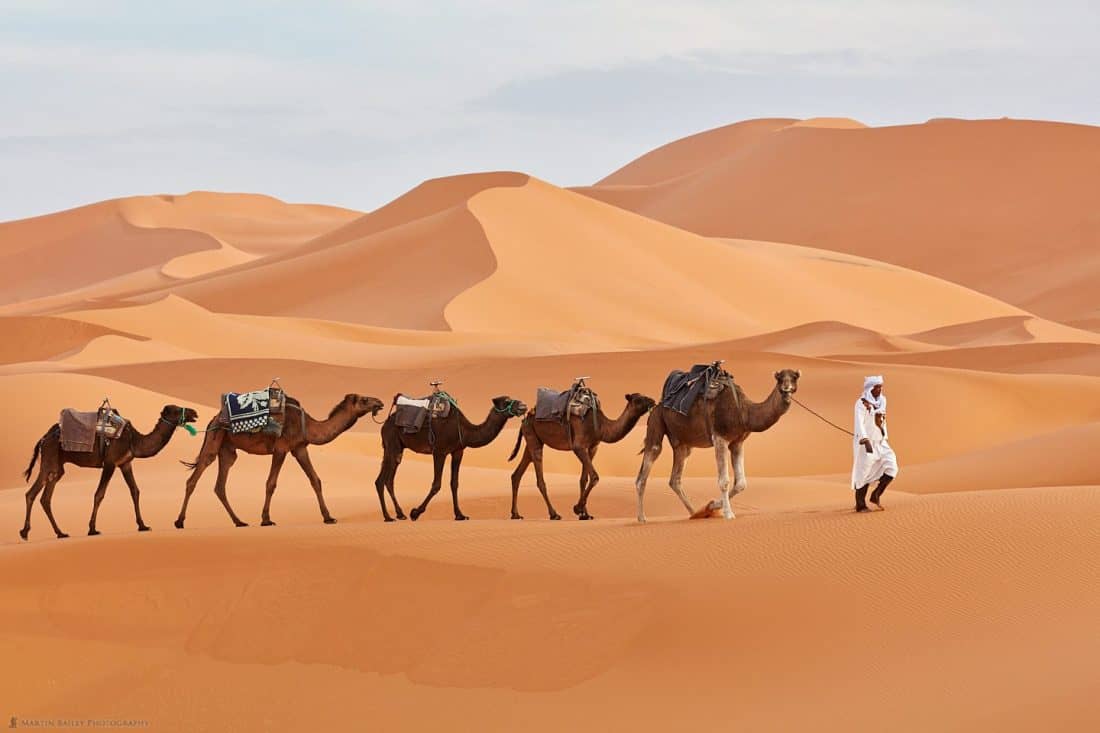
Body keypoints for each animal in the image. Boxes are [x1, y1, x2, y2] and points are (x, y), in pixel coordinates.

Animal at [20, 402, 199, 539]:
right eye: (176, 410)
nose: (194, 412)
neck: (134, 440)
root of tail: (43, 438)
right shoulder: (110, 462)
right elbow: (99, 494)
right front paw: (92, 529)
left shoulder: (125, 463)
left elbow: (135, 491)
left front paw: (142, 525)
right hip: (50, 459)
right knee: (33, 493)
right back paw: (26, 532)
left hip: (57, 467)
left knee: (44, 497)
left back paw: (59, 533)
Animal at [174, 394, 382, 526]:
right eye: (364, 399)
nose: (379, 402)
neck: (308, 425)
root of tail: (213, 419)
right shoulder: (281, 448)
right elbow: (271, 483)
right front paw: (266, 519)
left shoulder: (299, 448)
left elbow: (315, 480)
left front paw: (329, 517)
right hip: (214, 439)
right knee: (194, 478)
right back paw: (179, 521)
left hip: (227, 450)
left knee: (220, 485)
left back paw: (239, 521)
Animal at [374, 394, 528, 519]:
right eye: (507, 401)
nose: (523, 406)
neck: (465, 431)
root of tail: (385, 423)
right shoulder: (439, 451)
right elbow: (436, 484)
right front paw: (416, 513)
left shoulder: (458, 451)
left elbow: (454, 483)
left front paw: (460, 514)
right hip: (392, 444)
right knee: (383, 480)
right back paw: (389, 517)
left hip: (396, 448)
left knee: (387, 480)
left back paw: (398, 514)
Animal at [506, 391, 651, 517]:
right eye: (638, 400)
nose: (652, 401)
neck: (601, 426)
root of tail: (525, 419)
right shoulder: (578, 447)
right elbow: (594, 477)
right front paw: (578, 508)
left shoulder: (593, 447)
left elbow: (583, 479)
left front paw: (585, 514)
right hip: (533, 437)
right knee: (539, 478)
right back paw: (554, 514)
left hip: (532, 438)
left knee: (517, 474)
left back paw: (515, 514)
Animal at [633, 365, 805, 519]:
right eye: (779, 378)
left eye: (795, 377)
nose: (786, 388)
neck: (743, 411)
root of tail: (657, 405)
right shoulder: (719, 438)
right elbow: (724, 481)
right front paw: (728, 513)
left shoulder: (737, 443)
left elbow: (741, 483)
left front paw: (711, 506)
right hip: (656, 422)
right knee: (646, 469)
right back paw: (642, 518)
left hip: (683, 444)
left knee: (675, 479)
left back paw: (695, 513)